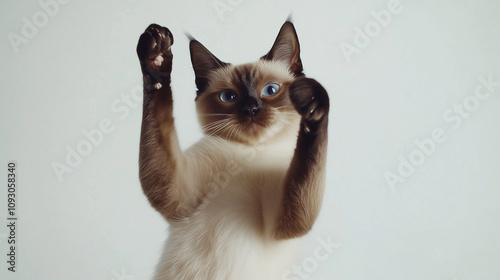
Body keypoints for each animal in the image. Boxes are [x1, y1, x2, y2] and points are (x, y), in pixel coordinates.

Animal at [137, 20, 330, 278]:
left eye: (270, 90)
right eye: (229, 96)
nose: (251, 109)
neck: (251, 152)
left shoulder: (283, 220)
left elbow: (306, 160)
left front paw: (313, 104)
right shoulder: (178, 191)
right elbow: (161, 108)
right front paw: (157, 57)